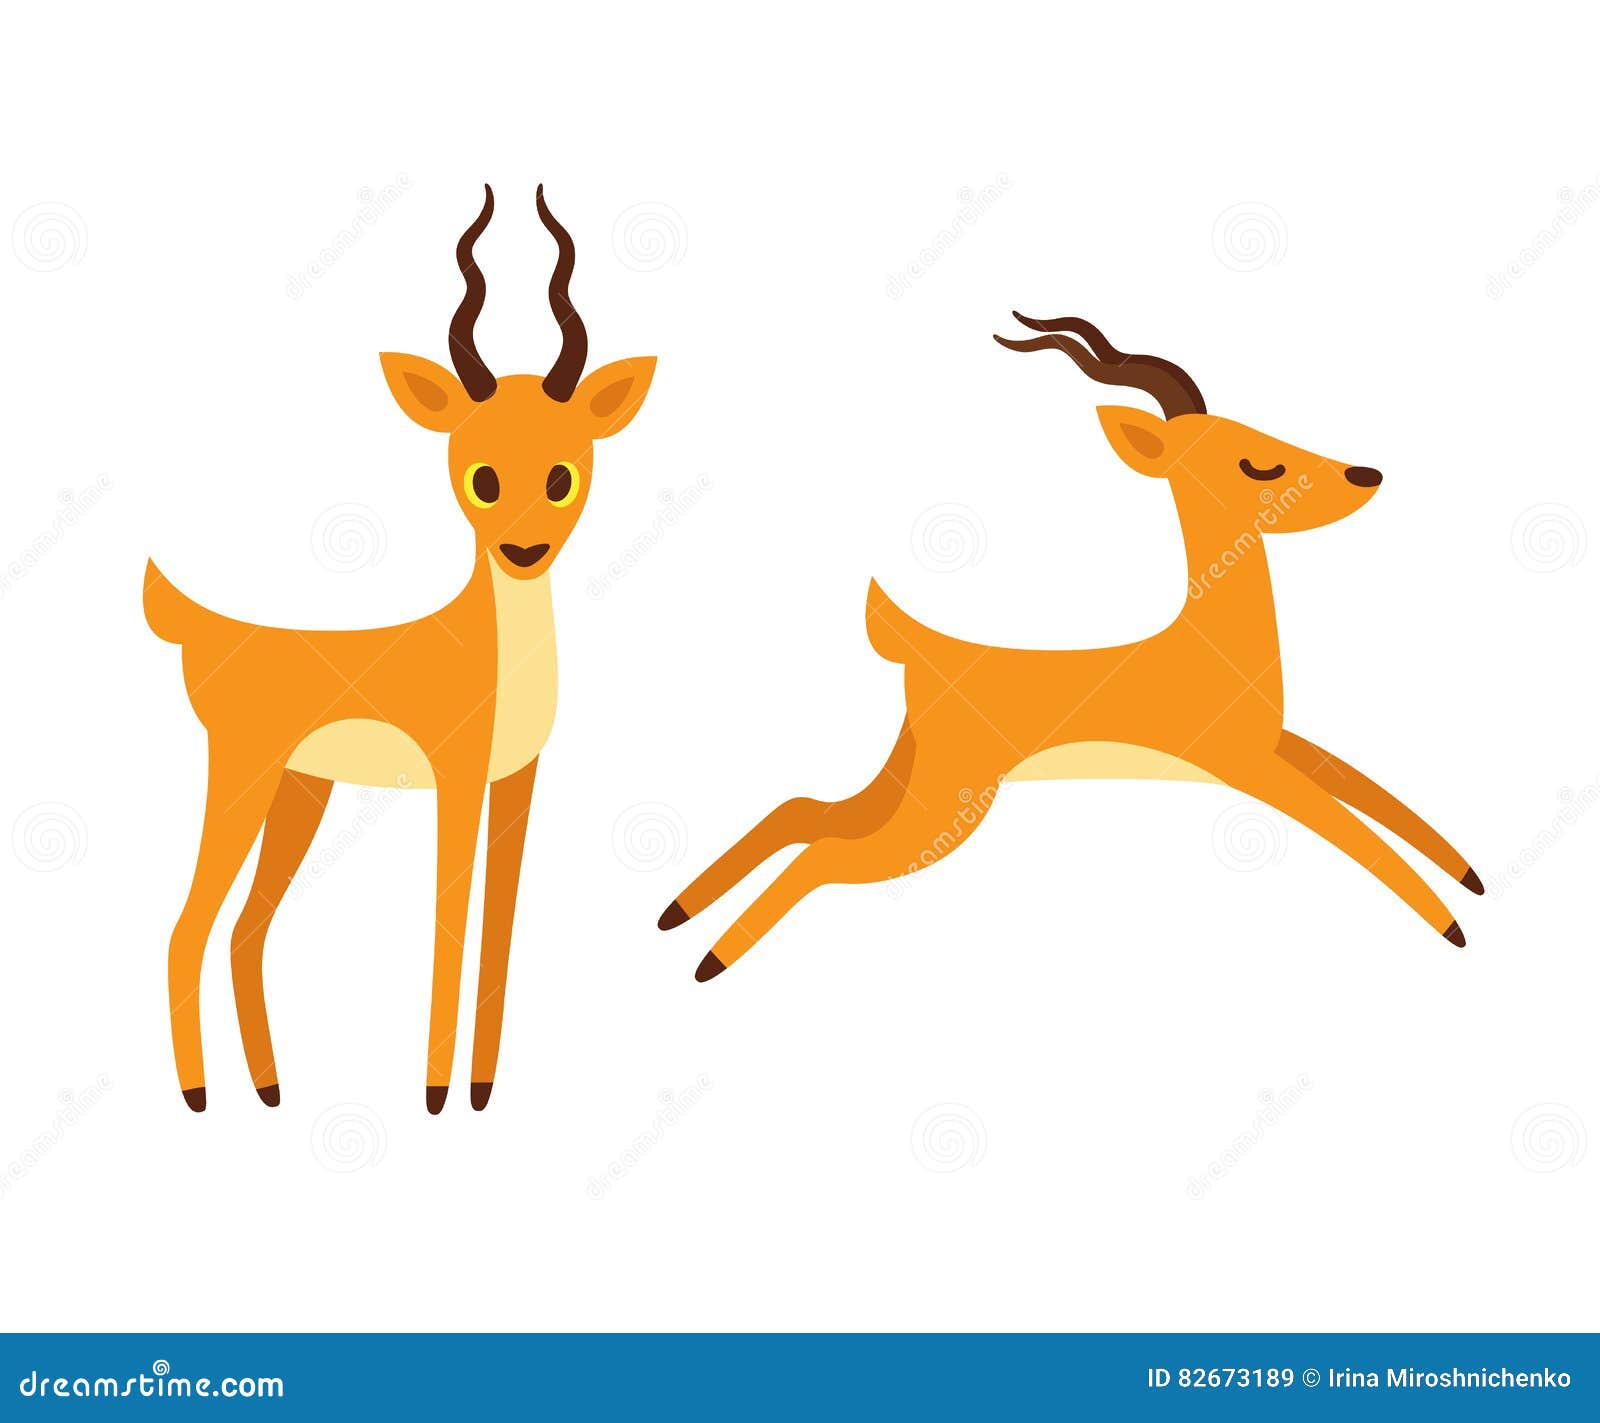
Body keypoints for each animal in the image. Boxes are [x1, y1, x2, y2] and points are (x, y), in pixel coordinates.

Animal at [146, 185, 655, 1112]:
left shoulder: (516, 782)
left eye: (562, 475)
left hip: (299, 793)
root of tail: (213, 626)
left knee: (243, 931)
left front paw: (482, 1088)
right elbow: (448, 926)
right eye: (481, 477)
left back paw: (270, 1091)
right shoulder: (455, 780)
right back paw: (199, 1097)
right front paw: (434, 1092)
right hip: (243, 776)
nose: (524, 551)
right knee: (184, 927)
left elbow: (500, 929)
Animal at [660, 313, 1480, 979]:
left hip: (906, 784)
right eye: (1258, 464)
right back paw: (708, 960)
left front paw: (1469, 876)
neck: (1208, 650)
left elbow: (1371, 792)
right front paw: (1453, 926)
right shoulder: (1245, 764)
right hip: (944, 810)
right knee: (825, 851)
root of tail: (916, 647)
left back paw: (678, 914)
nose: (1366, 473)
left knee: (803, 810)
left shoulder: (1281, 745)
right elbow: (1352, 827)